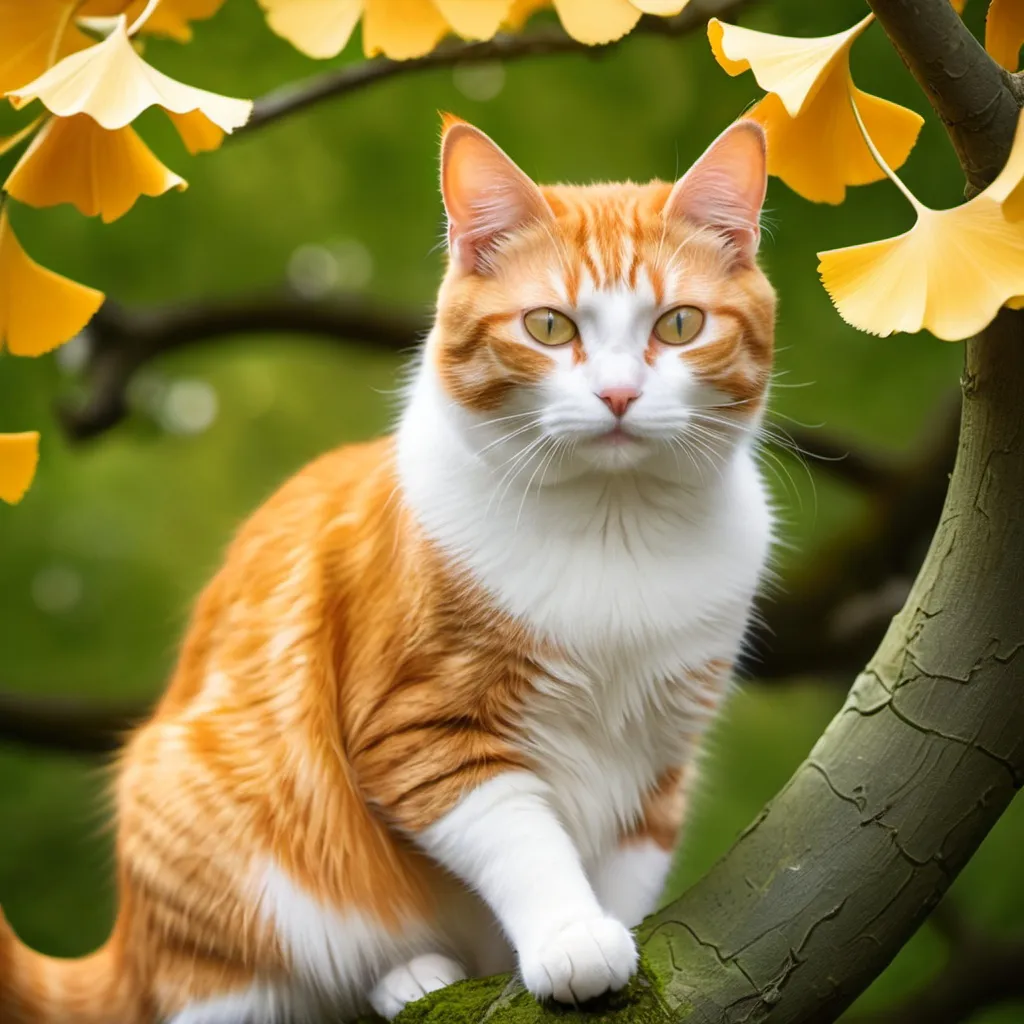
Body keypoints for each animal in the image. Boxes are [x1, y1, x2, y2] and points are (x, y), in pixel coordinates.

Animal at [0, 114, 770, 1024]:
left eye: (679, 325)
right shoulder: (423, 732)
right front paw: (571, 937)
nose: (618, 396)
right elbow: (526, 841)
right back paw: (406, 975)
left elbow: (619, 870)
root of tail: (129, 944)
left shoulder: (659, 761)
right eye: (550, 328)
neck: (615, 532)